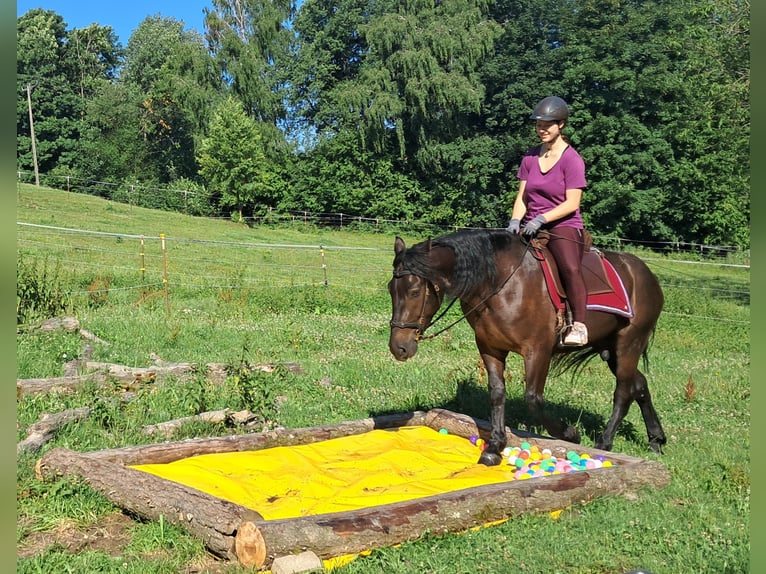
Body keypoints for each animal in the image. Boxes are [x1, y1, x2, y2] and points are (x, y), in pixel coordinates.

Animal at [387, 228, 667, 466]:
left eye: (414, 291)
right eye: (391, 289)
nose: (399, 347)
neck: (501, 283)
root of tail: (645, 273)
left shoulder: (537, 351)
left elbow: (533, 399)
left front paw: (570, 434)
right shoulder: (489, 347)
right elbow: (497, 393)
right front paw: (494, 447)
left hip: (629, 343)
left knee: (623, 392)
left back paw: (605, 442)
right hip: (611, 349)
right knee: (638, 384)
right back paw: (656, 438)